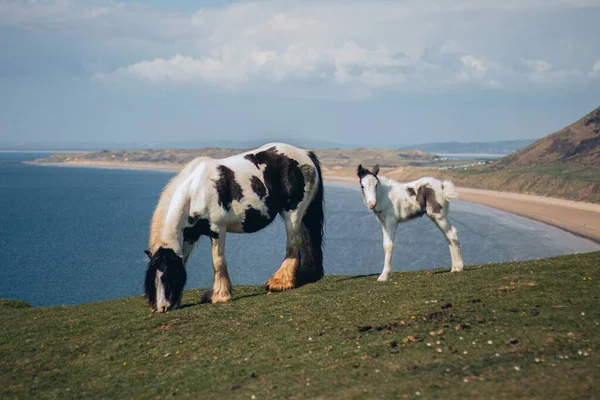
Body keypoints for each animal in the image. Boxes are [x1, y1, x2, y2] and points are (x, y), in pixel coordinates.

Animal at [144, 144, 324, 312]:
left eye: (166, 276)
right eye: (152, 280)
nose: (162, 308)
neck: (195, 191)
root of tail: (305, 154)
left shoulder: (217, 229)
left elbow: (217, 261)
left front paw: (219, 295)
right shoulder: (190, 235)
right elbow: (185, 262)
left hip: (293, 213)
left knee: (293, 244)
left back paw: (280, 283)